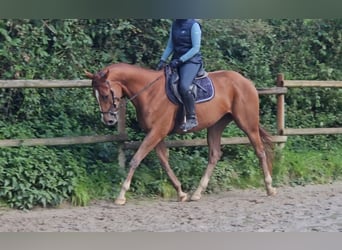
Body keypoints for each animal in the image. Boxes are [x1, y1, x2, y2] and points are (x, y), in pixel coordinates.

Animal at [85, 63, 276, 205]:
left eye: (105, 95)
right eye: (96, 95)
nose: (108, 120)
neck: (149, 92)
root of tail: (246, 81)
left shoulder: (157, 131)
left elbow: (136, 159)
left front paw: (121, 195)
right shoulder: (157, 134)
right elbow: (164, 162)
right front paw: (181, 192)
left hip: (247, 124)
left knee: (260, 151)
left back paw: (269, 187)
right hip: (216, 125)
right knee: (214, 155)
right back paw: (197, 193)